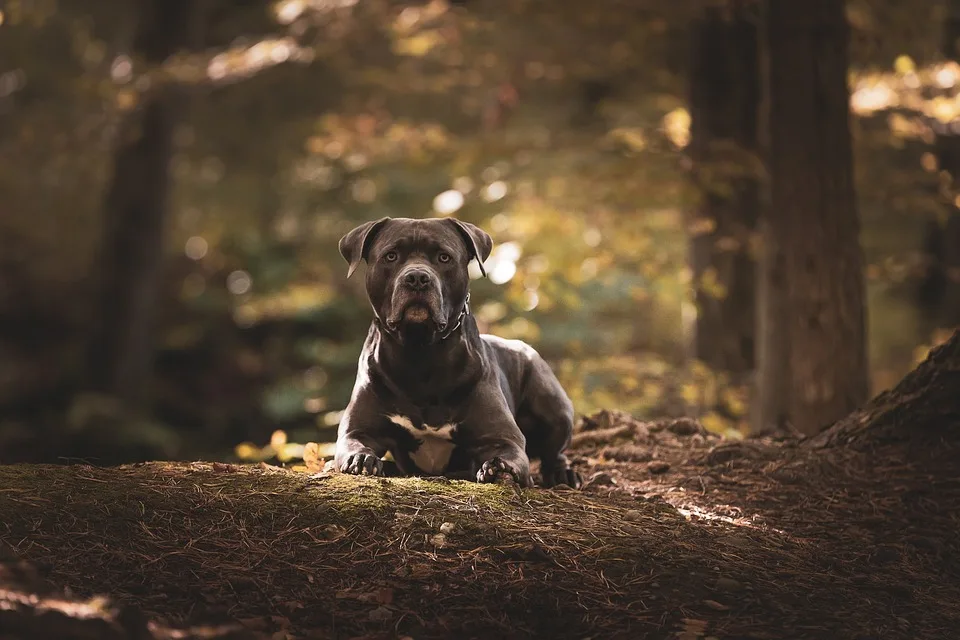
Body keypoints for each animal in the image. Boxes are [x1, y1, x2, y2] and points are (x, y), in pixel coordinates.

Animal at [334, 216, 580, 490]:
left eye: (444, 257)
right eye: (391, 256)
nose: (417, 277)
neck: (419, 353)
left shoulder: (503, 437)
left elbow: (507, 452)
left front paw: (498, 467)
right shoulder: (358, 431)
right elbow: (355, 443)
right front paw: (361, 459)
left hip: (553, 405)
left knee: (554, 453)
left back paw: (564, 474)